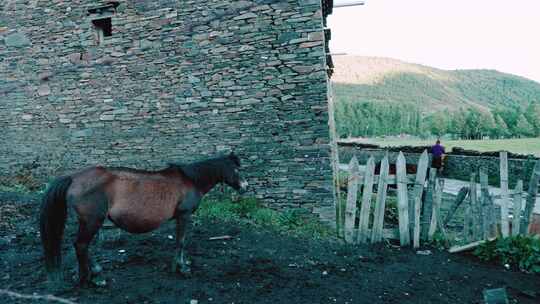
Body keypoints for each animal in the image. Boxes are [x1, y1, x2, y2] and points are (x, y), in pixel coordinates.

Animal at [39, 153, 247, 286]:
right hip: (92, 222)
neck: (190, 180)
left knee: (83, 246)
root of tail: (73, 178)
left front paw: (179, 265)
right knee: (81, 246)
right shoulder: (184, 215)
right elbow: (181, 241)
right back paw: (93, 278)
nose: (245, 187)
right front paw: (181, 268)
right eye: (236, 170)